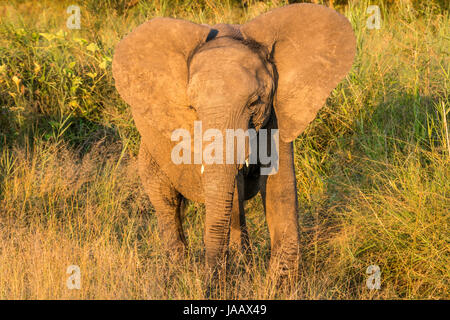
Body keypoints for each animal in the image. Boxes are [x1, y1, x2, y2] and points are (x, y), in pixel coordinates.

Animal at [111, 3, 356, 278]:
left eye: (254, 102)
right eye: (192, 108)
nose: (210, 278)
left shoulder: (277, 111)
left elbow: (280, 185)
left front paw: (278, 281)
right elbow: (233, 192)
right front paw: (241, 273)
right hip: (150, 150)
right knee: (166, 202)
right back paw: (178, 270)